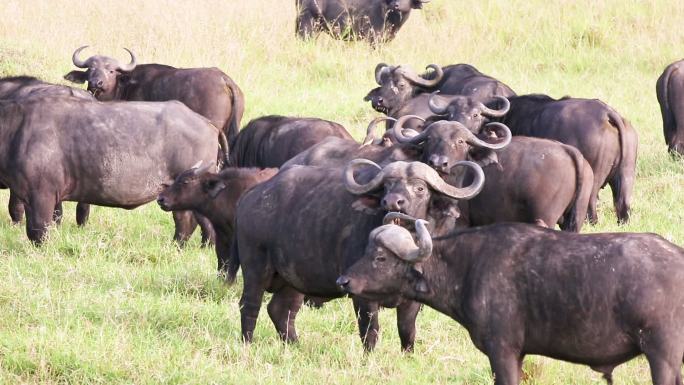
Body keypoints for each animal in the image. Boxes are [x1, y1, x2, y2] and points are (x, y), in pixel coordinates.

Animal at [232, 158, 484, 350]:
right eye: (387, 187)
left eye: (420, 188)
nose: (392, 202)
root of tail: (251, 197)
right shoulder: (361, 295)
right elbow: (370, 330)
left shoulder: (413, 299)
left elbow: (407, 331)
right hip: (256, 267)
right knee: (249, 305)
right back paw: (247, 344)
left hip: (293, 279)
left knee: (281, 310)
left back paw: (295, 345)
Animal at [342, 213, 684, 384]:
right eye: (367, 251)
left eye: (380, 258)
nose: (343, 280)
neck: (469, 266)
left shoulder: (502, 352)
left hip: (662, 357)